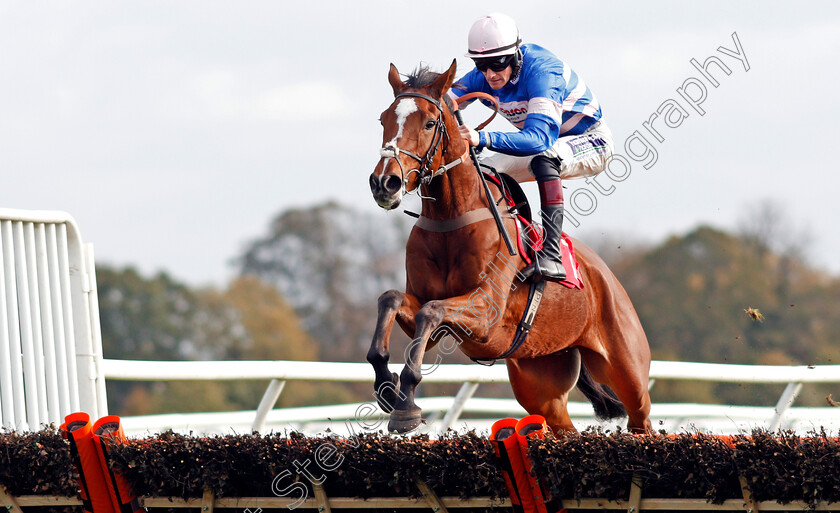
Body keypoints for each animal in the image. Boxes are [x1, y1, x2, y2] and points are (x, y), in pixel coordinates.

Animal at [364, 61, 652, 436]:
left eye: (428, 122)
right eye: (384, 119)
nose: (385, 182)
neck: (450, 219)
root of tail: (609, 278)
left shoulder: (485, 311)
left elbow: (432, 311)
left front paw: (406, 405)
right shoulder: (425, 313)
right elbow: (392, 299)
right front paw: (387, 386)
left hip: (628, 373)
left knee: (641, 418)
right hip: (541, 382)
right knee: (563, 425)